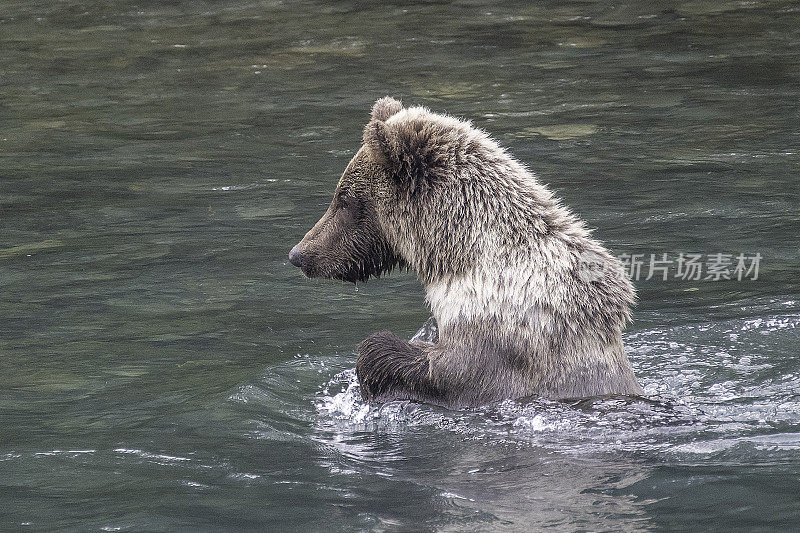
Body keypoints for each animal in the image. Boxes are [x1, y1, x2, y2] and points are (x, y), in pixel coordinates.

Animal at [290, 96, 644, 408]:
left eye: (344, 199)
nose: (299, 254)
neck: (459, 256)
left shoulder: (504, 333)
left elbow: (451, 372)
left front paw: (374, 355)